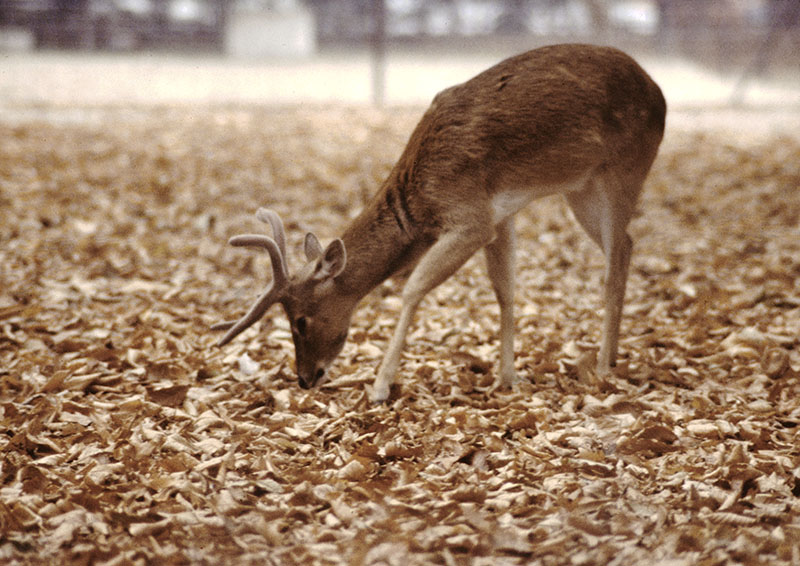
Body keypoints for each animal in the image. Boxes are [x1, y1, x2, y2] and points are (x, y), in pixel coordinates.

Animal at [212, 44, 666, 403]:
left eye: (300, 320)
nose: (305, 378)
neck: (421, 207)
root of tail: (658, 91)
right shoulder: (499, 216)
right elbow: (505, 290)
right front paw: (507, 378)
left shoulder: (470, 218)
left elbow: (413, 288)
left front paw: (379, 387)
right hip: (581, 189)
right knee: (626, 245)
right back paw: (610, 357)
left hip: (624, 168)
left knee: (617, 256)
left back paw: (604, 366)